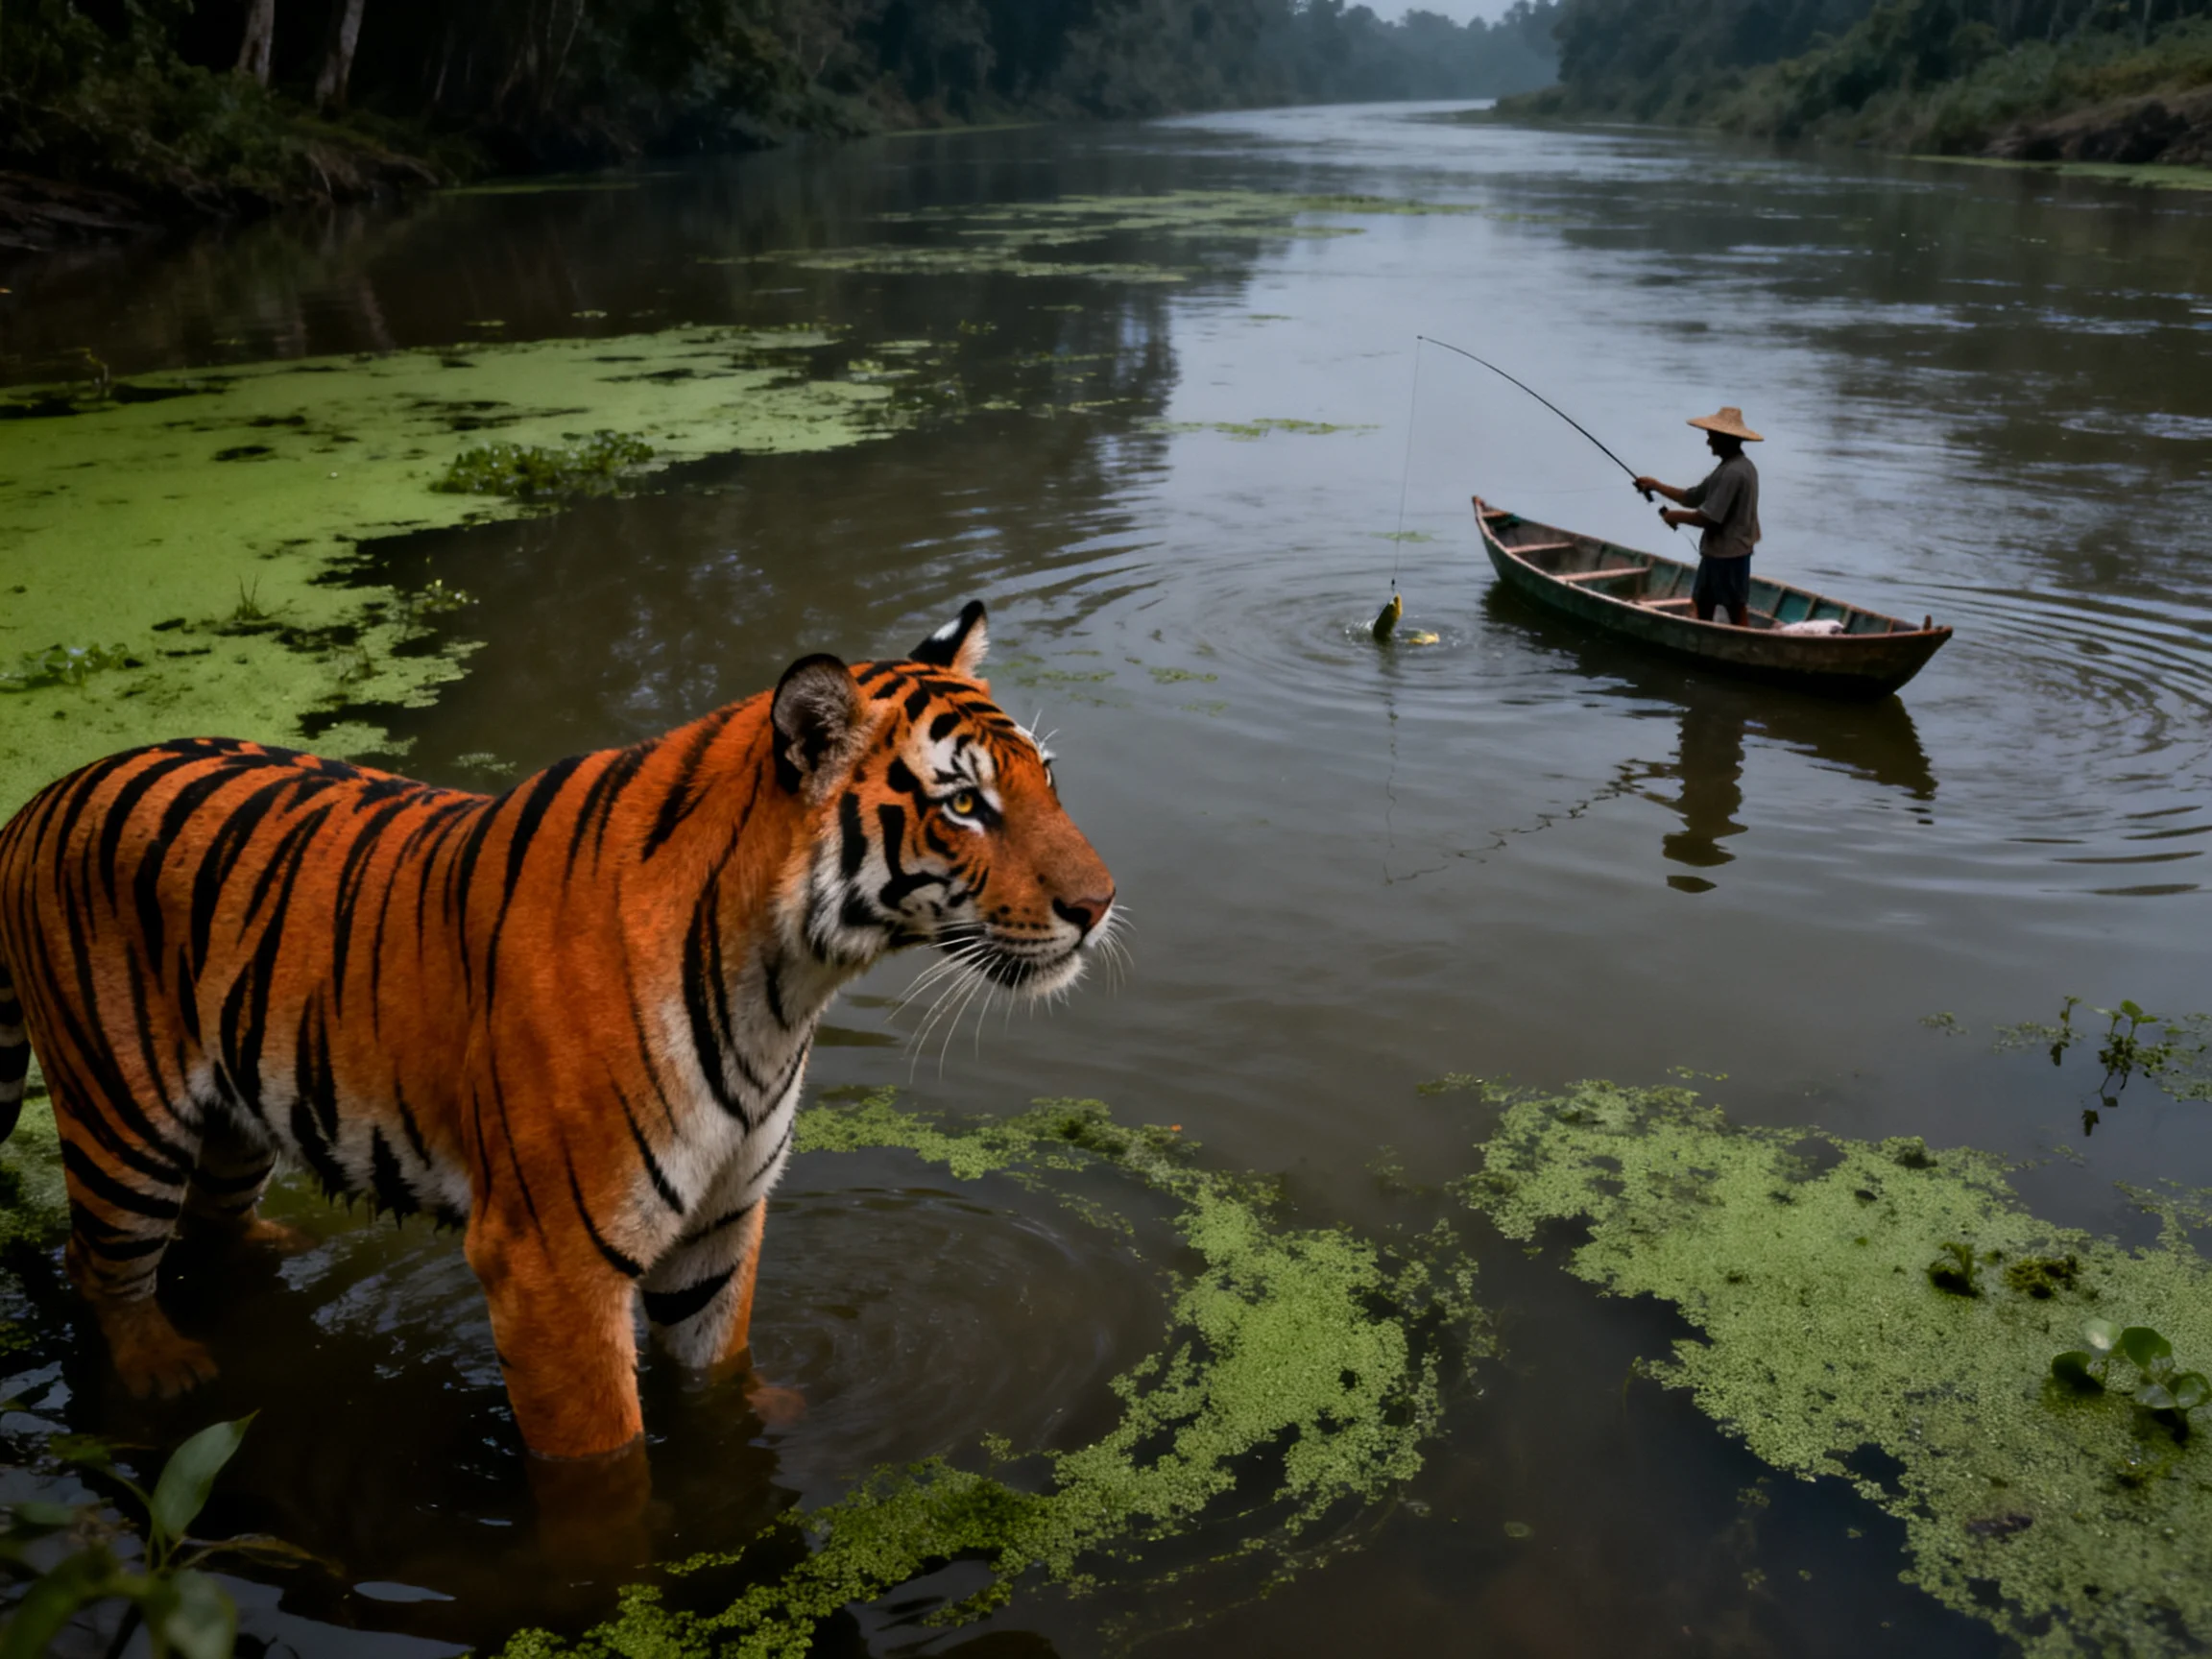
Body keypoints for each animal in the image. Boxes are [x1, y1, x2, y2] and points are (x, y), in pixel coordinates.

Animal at [0, 600, 1115, 1462]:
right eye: (964, 805)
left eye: (1050, 777)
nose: (1100, 905)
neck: (784, 987)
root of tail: (43, 793)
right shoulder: (549, 1264)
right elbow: (602, 1472)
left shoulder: (720, 1222)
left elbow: (714, 1383)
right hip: (123, 1120)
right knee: (98, 1263)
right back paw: (165, 1375)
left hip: (237, 1119)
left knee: (214, 1226)